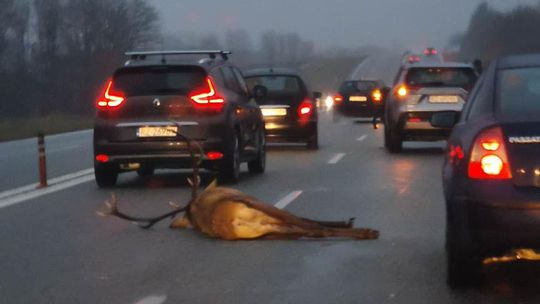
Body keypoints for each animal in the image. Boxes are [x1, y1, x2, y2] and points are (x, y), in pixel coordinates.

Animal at [97, 132, 378, 241]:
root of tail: (230, 221)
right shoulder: (249, 196)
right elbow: (310, 217)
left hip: (269, 229)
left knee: (308, 231)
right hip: (259, 207)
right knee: (311, 225)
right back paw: (364, 230)